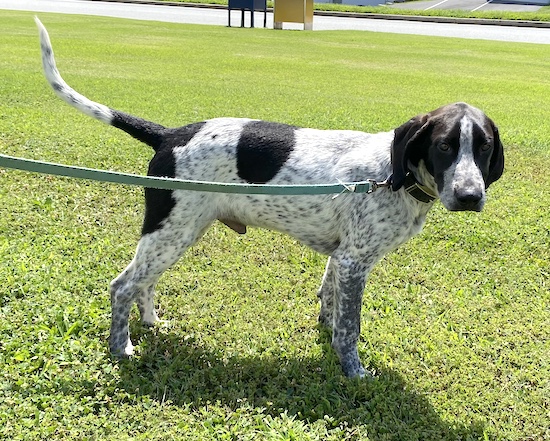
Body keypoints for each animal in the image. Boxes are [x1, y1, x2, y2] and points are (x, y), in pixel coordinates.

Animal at [36, 18, 506, 376]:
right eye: (444, 146)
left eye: (483, 147)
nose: (469, 196)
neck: (391, 176)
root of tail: (170, 135)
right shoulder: (354, 262)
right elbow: (349, 328)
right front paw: (353, 371)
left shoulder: (340, 258)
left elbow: (330, 305)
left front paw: (326, 338)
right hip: (171, 231)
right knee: (122, 286)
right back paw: (122, 347)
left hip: (175, 233)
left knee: (143, 282)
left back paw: (150, 322)